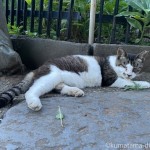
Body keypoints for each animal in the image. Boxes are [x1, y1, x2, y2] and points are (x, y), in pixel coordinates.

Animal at [0, 47, 150, 110]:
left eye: (135, 68)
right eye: (124, 65)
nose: (129, 73)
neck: (113, 63)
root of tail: (39, 68)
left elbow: (131, 81)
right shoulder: (110, 79)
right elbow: (130, 82)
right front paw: (145, 83)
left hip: (54, 80)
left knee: (58, 87)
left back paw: (74, 91)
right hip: (51, 76)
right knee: (30, 91)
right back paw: (34, 103)